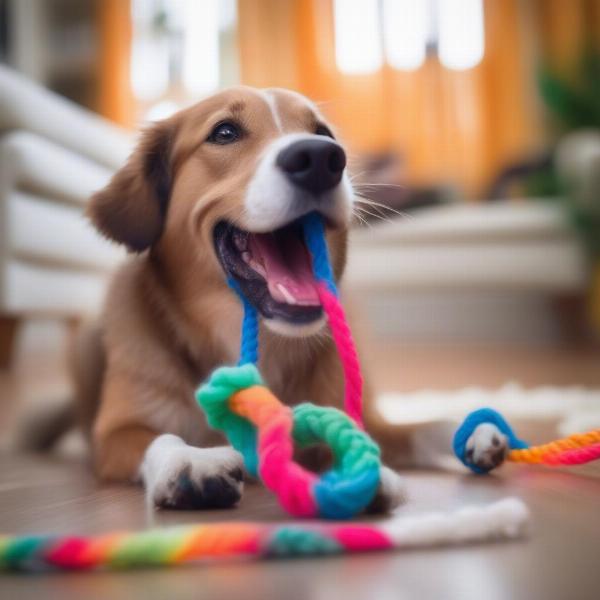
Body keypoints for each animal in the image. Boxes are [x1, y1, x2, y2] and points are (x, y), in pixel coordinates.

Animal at [75, 85, 506, 510]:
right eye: (224, 132)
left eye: (323, 133)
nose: (320, 158)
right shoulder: (115, 434)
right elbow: (159, 437)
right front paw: (190, 460)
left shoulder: (367, 419)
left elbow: (424, 426)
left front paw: (472, 431)